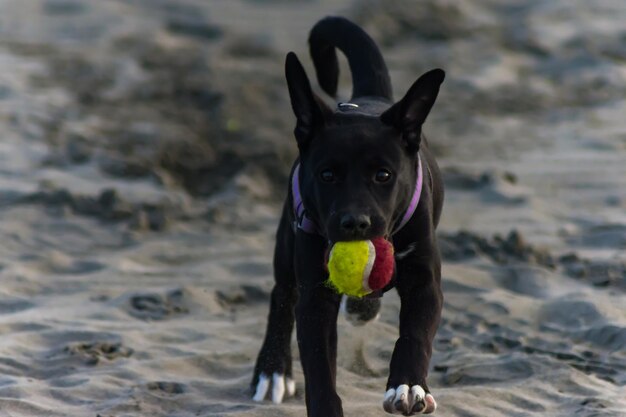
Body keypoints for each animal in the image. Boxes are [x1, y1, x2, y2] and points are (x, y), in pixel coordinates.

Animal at [250, 15, 444, 412]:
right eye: (327, 175)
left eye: (384, 175)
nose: (355, 223)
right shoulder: (315, 294)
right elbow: (319, 364)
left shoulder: (425, 280)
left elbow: (415, 335)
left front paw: (408, 386)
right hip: (287, 240)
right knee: (281, 295)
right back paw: (273, 369)